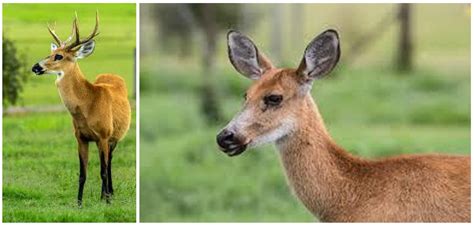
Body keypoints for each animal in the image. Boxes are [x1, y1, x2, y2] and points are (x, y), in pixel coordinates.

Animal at [31, 11, 131, 206]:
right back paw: (104, 194)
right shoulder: (80, 137)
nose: (35, 67)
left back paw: (108, 194)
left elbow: (103, 171)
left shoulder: (103, 135)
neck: (88, 105)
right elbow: (82, 173)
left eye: (59, 56)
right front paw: (79, 203)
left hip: (115, 137)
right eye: (51, 52)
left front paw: (107, 203)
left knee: (109, 163)